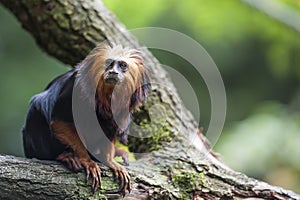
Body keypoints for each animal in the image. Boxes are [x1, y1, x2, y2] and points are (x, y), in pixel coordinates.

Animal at [21, 43, 150, 195]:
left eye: (123, 65)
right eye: (109, 63)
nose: (113, 72)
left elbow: (112, 129)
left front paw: (109, 161)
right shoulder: (76, 89)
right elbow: (59, 121)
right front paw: (86, 160)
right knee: (37, 105)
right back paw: (64, 156)